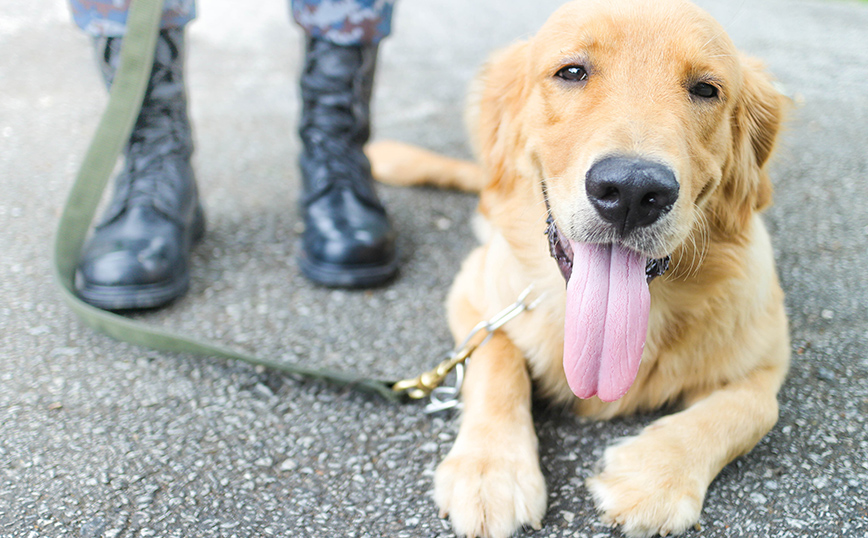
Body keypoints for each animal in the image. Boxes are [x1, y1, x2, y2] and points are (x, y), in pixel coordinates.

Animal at [370, 0, 792, 532]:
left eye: (705, 89)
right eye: (572, 72)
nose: (632, 190)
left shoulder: (769, 351)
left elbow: (754, 408)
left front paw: (653, 478)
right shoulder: (472, 294)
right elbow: (496, 356)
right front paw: (491, 470)